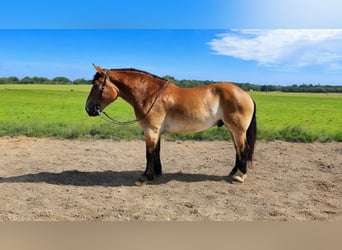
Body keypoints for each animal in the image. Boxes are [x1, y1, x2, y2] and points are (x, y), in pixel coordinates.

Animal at [85, 64, 256, 184]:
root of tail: (245, 94)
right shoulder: (156, 132)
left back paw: (240, 176)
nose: (88, 108)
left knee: (244, 149)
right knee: (237, 150)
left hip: (238, 131)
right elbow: (156, 152)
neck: (149, 94)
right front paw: (156, 173)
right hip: (232, 130)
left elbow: (149, 153)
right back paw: (233, 172)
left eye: (97, 86)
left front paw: (146, 176)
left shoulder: (151, 130)